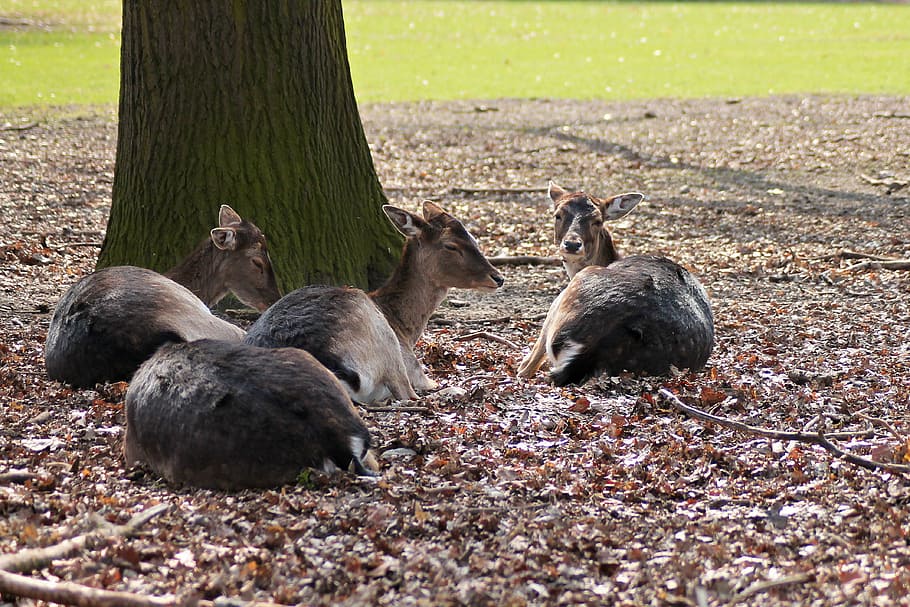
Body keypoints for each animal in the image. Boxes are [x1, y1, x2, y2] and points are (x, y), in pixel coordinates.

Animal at [244, 201, 504, 403]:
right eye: (450, 245)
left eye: (474, 238)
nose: (498, 277)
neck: (404, 327)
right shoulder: (413, 366)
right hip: (384, 341)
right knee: (408, 396)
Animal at [517, 183, 714, 386]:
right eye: (558, 215)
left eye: (597, 221)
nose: (571, 244)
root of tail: (596, 347)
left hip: (571, 293)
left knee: (528, 365)